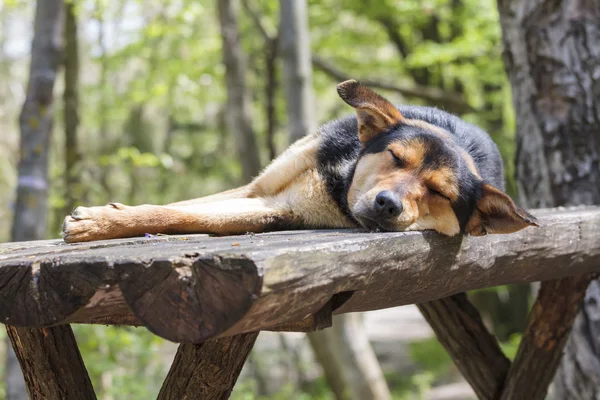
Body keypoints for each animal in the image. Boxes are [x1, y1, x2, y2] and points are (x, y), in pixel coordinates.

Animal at [62, 77, 540, 241]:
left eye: (440, 193)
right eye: (395, 156)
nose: (388, 205)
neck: (337, 178)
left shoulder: (274, 208)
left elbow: (182, 216)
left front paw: (99, 222)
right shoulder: (258, 188)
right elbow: (178, 206)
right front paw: (113, 214)